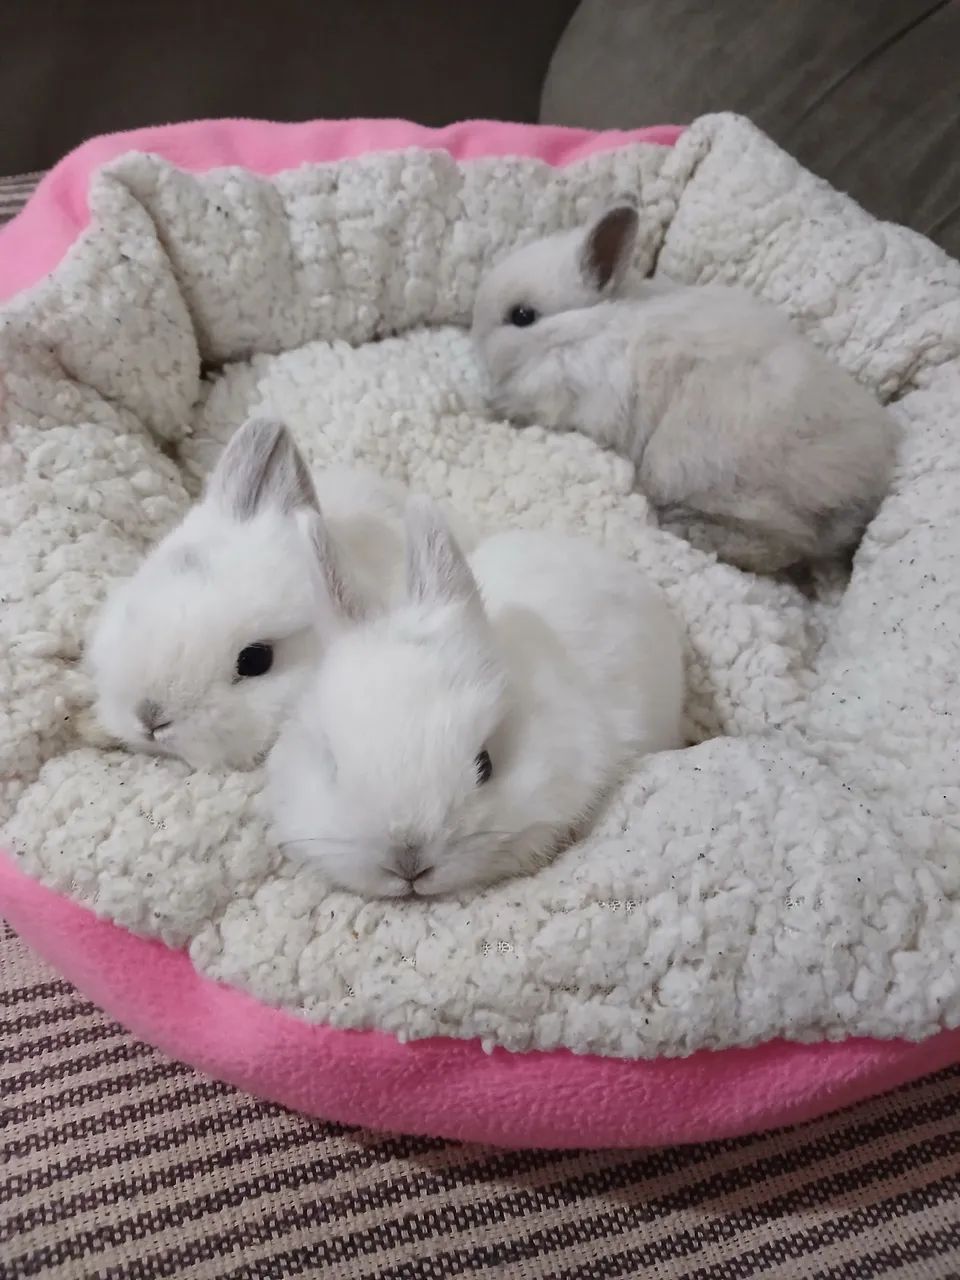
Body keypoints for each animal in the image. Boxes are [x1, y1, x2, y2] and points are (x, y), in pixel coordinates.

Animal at [471, 204, 898, 575]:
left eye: (522, 316)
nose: (475, 335)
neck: (582, 326)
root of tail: (862, 498)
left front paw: (490, 406)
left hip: (700, 473)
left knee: (782, 545)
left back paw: (683, 527)